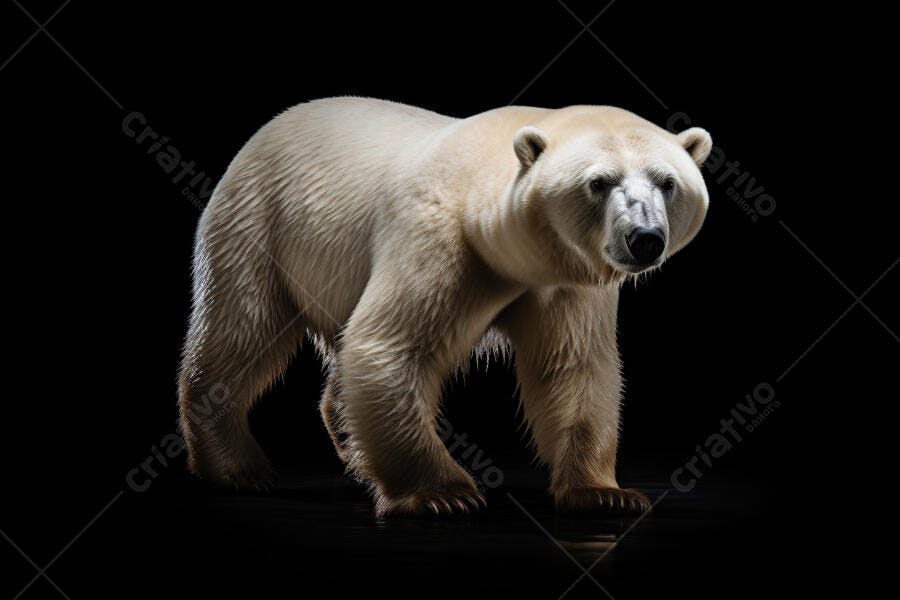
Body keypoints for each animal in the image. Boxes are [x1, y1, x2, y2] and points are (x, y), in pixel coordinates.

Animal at [178, 97, 712, 518]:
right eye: (599, 182)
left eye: (667, 182)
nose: (644, 238)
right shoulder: (438, 242)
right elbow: (388, 347)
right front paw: (442, 493)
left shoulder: (565, 281)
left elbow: (574, 366)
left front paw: (603, 492)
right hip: (259, 224)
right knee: (243, 327)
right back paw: (237, 466)